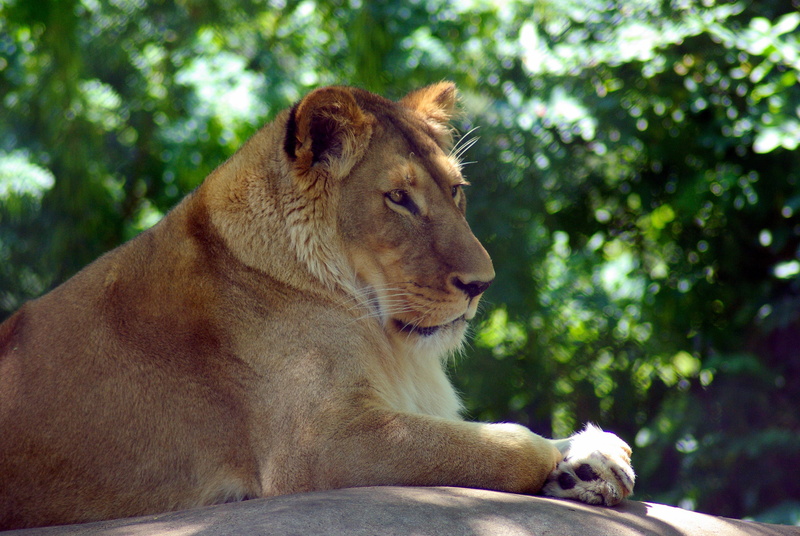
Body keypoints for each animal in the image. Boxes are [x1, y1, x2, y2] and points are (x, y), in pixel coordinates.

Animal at [0, 83, 634, 529]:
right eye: (399, 198)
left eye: (455, 190)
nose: (482, 283)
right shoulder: (319, 445)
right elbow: (503, 442)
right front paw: (569, 462)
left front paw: (587, 461)